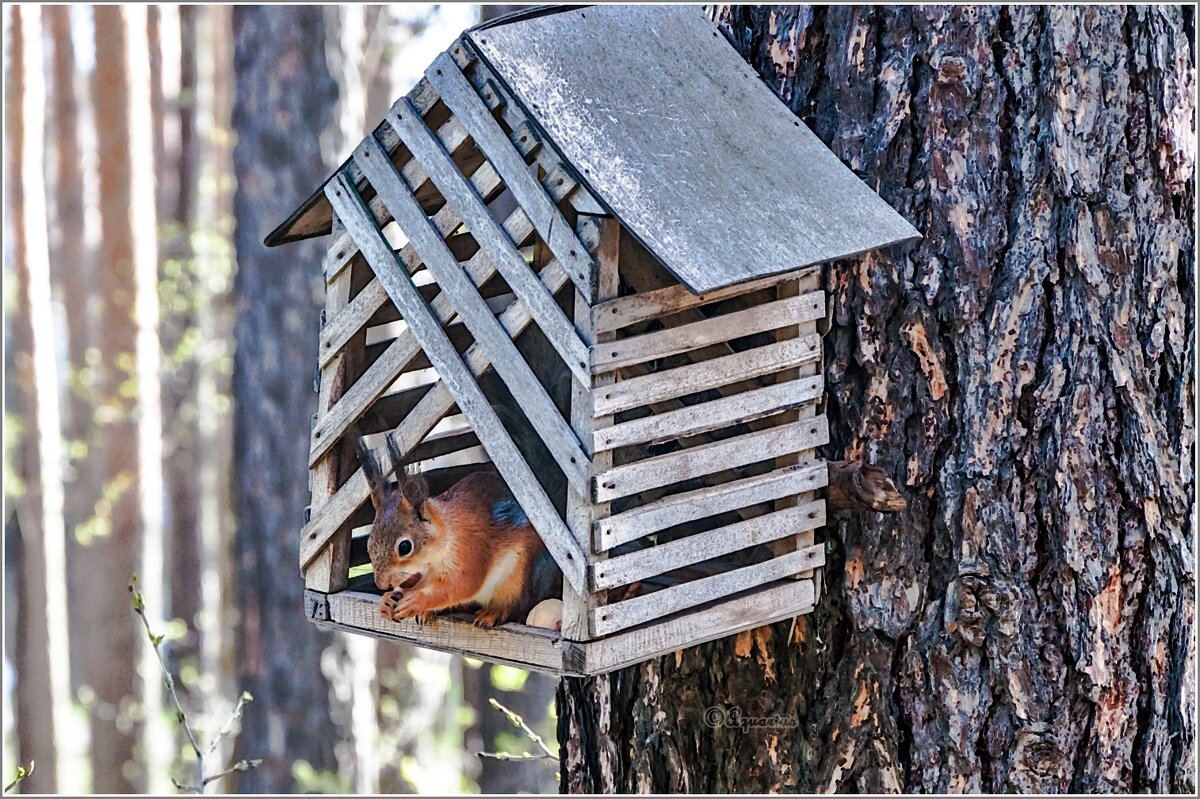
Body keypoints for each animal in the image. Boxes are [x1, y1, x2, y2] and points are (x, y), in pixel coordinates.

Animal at [355, 431, 561, 623]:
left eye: (405, 547)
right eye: (368, 545)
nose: (382, 584)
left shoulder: (471, 548)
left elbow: (462, 585)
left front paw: (418, 601)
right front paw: (386, 600)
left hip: (519, 579)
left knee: (514, 605)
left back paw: (492, 612)